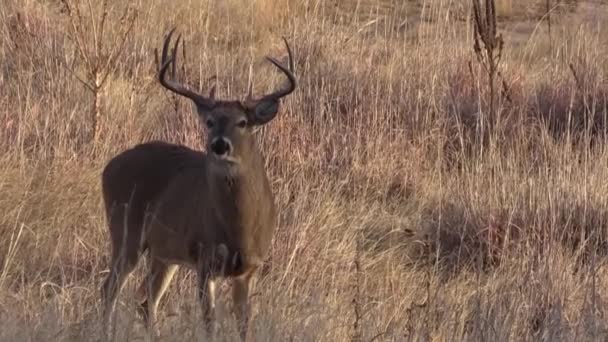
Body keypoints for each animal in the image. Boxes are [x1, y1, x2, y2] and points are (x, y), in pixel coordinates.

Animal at [100, 28, 296, 340]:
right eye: (210, 121)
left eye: (242, 122)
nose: (219, 145)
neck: (239, 229)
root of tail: (108, 167)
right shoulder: (205, 260)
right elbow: (210, 323)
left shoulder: (250, 268)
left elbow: (245, 325)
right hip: (125, 231)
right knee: (110, 289)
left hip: (163, 253)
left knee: (146, 298)